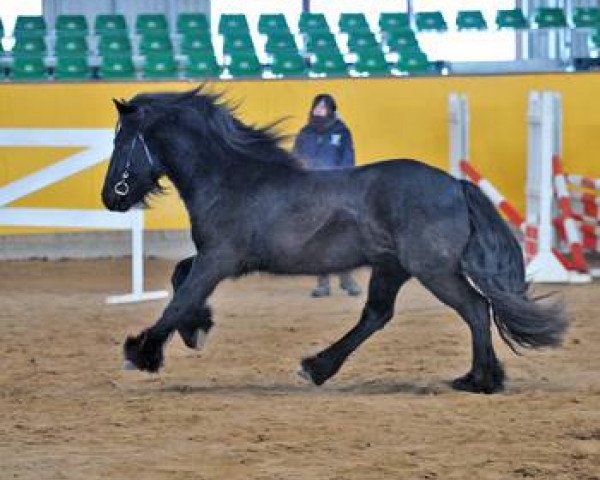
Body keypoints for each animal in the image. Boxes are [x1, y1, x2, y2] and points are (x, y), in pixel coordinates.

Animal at [103, 86, 568, 394]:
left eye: (122, 140)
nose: (110, 197)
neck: (230, 178)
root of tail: (455, 185)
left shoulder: (219, 259)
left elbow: (179, 298)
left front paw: (142, 352)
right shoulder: (214, 258)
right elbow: (180, 280)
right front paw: (196, 329)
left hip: (432, 270)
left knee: (474, 308)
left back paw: (480, 380)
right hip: (392, 267)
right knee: (378, 315)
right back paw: (318, 367)